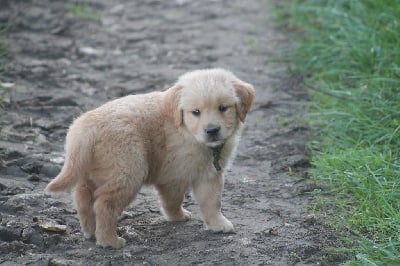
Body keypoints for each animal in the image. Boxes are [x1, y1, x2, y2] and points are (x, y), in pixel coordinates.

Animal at [45, 68, 255, 249]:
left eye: (223, 108)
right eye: (196, 112)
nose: (212, 130)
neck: (186, 131)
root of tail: (85, 127)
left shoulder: (209, 174)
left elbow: (212, 201)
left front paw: (218, 224)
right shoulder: (174, 175)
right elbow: (173, 200)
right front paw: (177, 216)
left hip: (88, 172)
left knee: (83, 198)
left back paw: (90, 231)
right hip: (128, 171)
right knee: (105, 204)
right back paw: (109, 240)